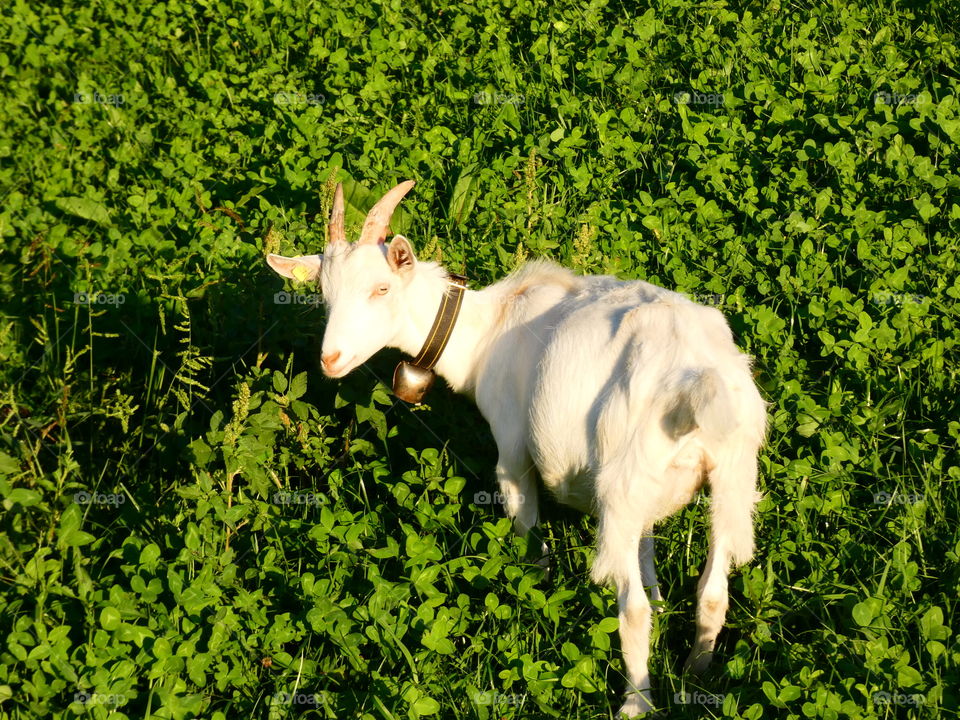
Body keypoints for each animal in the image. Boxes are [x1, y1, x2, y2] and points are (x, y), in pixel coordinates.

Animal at [267, 181, 767, 716]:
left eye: (381, 289)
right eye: (324, 295)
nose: (331, 359)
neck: (487, 328)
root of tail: (694, 381)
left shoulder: (512, 450)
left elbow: (531, 540)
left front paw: (535, 601)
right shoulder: (648, 497)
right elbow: (649, 551)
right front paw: (659, 600)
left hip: (622, 479)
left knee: (630, 607)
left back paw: (636, 702)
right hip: (730, 478)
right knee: (713, 590)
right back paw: (697, 671)